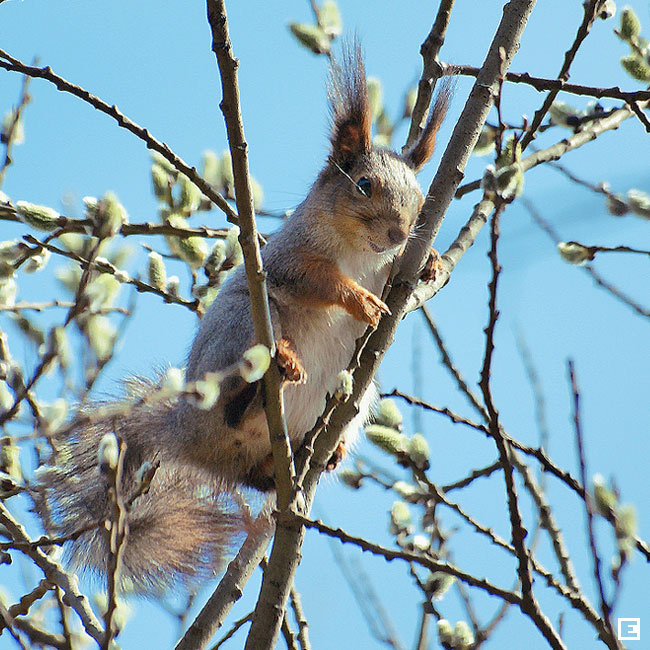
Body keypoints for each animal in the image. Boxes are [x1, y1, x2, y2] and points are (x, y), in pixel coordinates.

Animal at [34, 46, 451, 592]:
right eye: (363, 185)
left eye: (422, 201)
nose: (399, 234)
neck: (364, 255)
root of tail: (186, 434)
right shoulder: (289, 258)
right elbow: (316, 280)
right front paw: (361, 301)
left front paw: (432, 262)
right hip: (244, 325)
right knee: (236, 398)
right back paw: (269, 377)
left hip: (353, 403)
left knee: (253, 473)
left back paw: (319, 451)